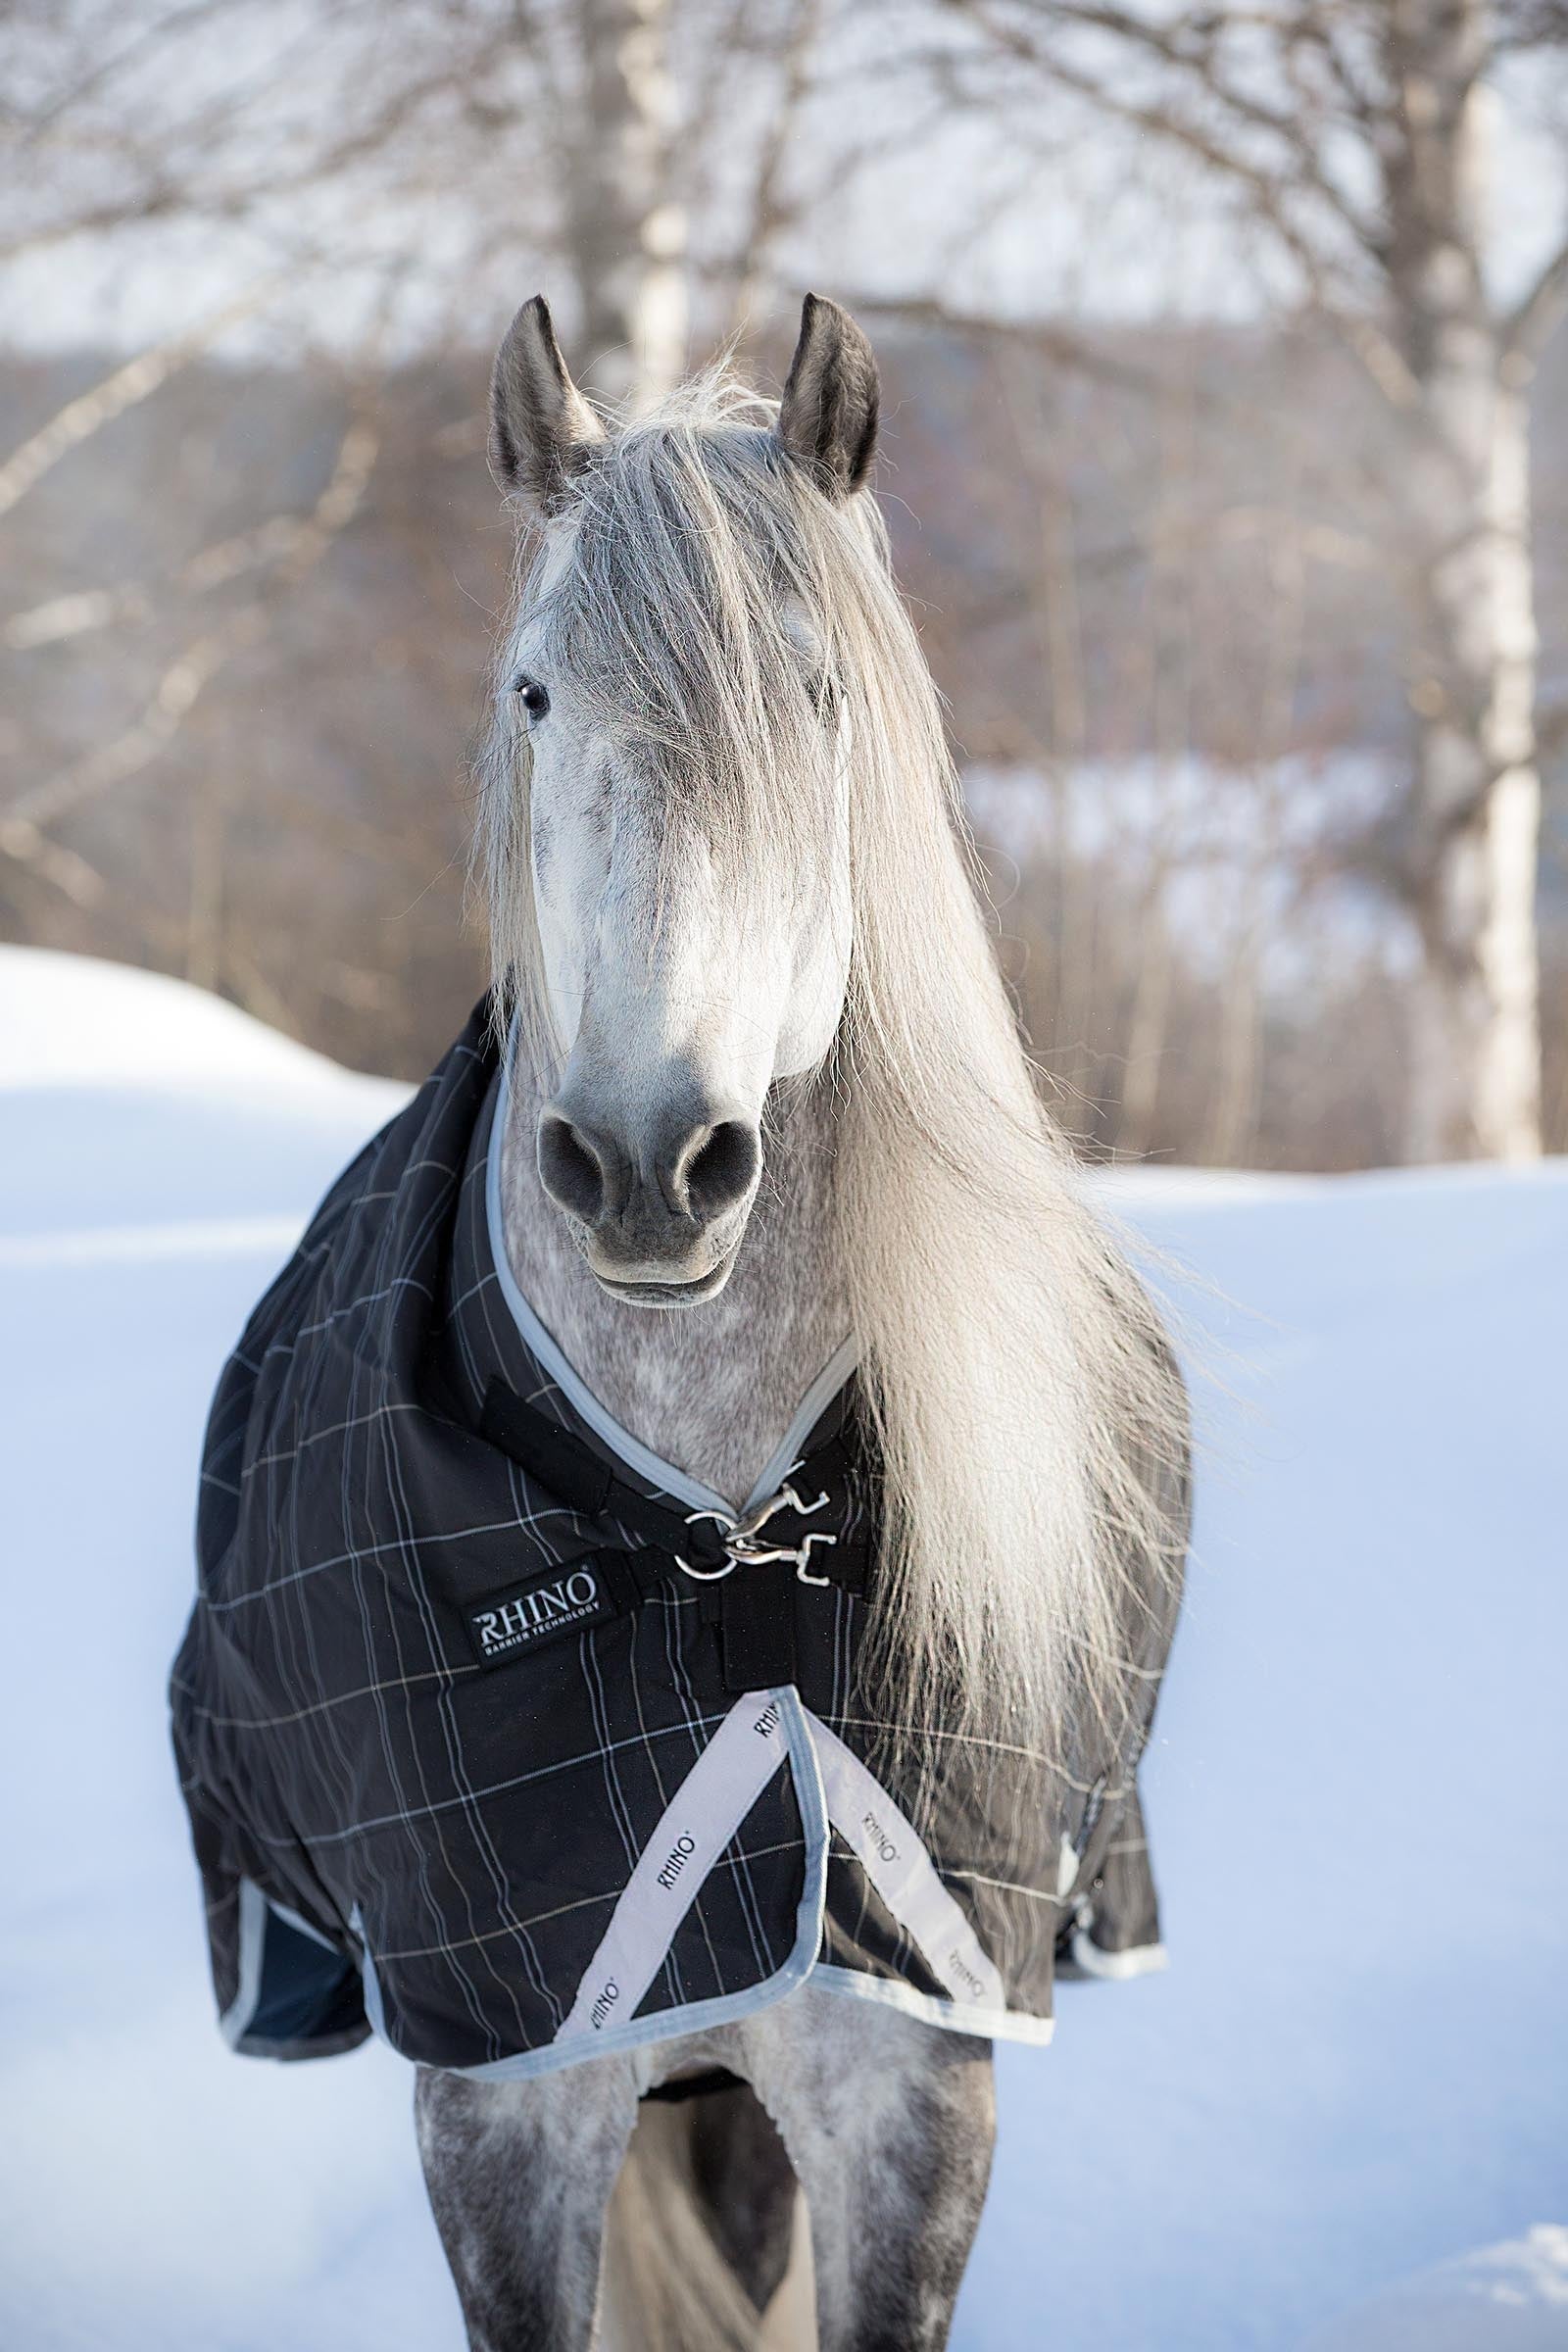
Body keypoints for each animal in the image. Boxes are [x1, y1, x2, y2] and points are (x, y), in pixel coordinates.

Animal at [404, 291, 1188, 2350]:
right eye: (534, 697)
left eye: (817, 704)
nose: (647, 1163)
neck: (706, 1538)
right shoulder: (501, 2122)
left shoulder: (910, 2101)